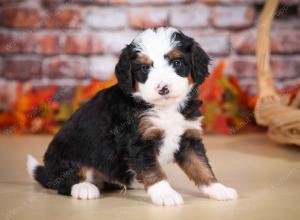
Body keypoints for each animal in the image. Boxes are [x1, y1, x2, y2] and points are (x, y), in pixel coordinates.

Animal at [27, 27, 238, 206]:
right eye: (144, 68)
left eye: (177, 62)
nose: (163, 88)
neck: (165, 108)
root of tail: (47, 171)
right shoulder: (138, 141)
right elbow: (154, 170)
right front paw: (165, 194)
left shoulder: (189, 137)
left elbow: (201, 166)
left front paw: (218, 189)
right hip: (69, 153)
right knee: (66, 181)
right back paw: (84, 188)